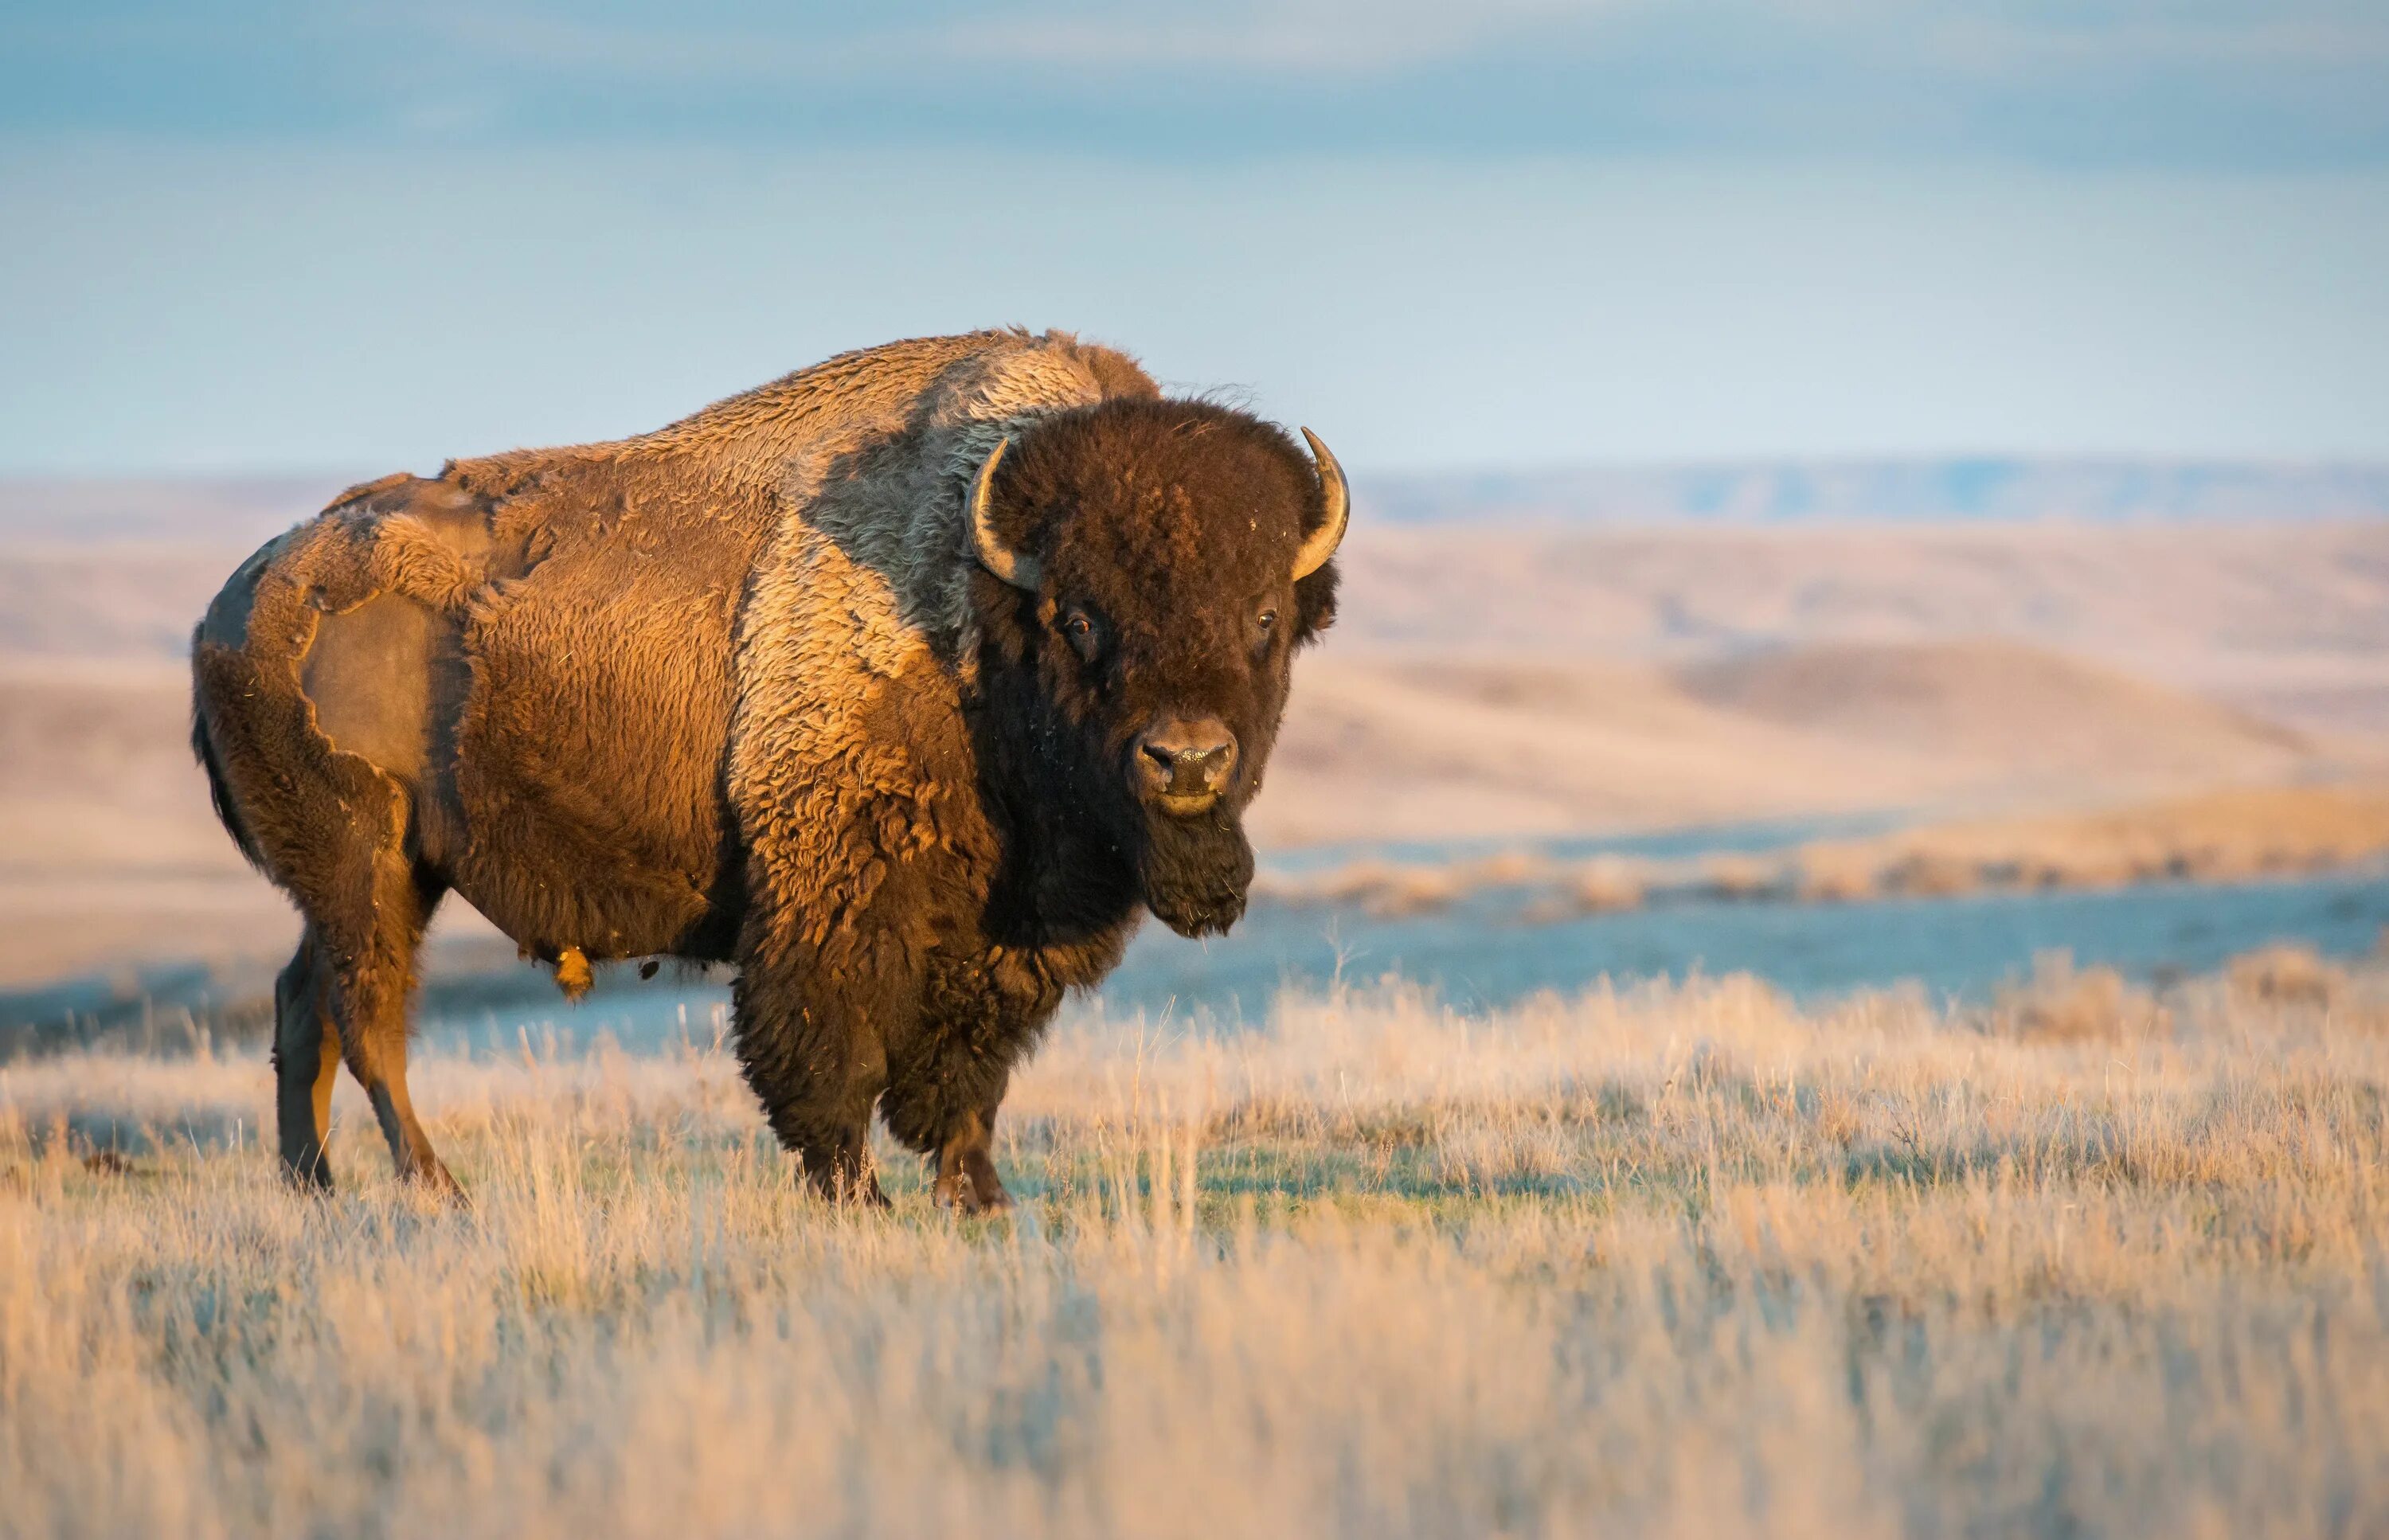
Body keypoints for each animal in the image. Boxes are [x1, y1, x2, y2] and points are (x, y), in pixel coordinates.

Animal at [186, 326, 1347, 1213]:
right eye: (1079, 617)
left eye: (1264, 617)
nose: (1187, 759)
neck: (975, 602)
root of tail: (236, 602)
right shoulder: (832, 892)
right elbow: (830, 1050)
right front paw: (859, 1196)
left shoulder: (1004, 933)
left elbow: (969, 1068)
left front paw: (979, 1196)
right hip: (367, 862)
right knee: (368, 1017)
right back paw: (437, 1188)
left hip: (382, 876)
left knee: (303, 1003)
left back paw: (314, 1187)